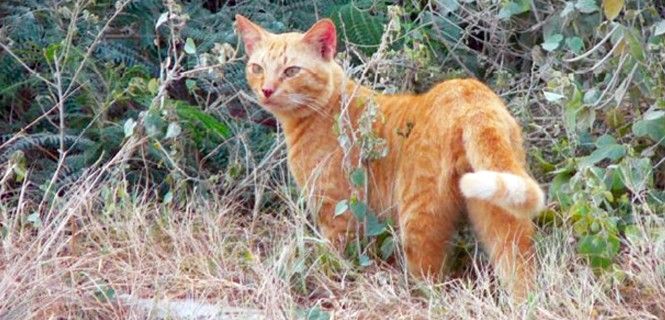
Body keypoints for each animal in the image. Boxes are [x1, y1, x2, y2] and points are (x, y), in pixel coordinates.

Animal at [233, 15, 544, 300]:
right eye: (257, 68)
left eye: (291, 71)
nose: (266, 89)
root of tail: (469, 94)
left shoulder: (337, 212)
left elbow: (334, 257)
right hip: (499, 212)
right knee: (520, 267)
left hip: (417, 216)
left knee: (431, 280)